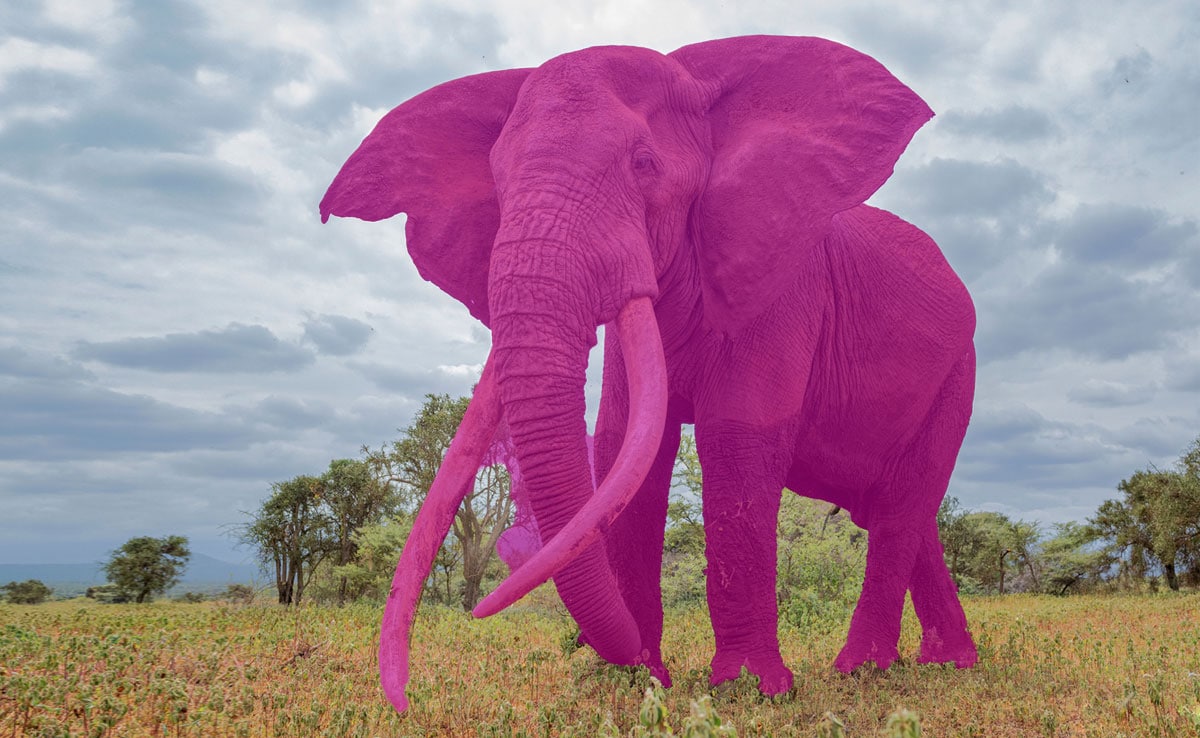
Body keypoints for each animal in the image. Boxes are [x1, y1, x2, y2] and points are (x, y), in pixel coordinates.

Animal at [320, 35, 978, 713]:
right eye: (498, 180)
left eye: (644, 164)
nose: (401, 701)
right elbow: (627, 441)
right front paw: (636, 681)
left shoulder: (784, 288)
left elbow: (734, 440)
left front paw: (748, 690)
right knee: (898, 511)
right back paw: (947, 663)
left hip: (959, 371)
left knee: (900, 508)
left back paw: (863, 671)